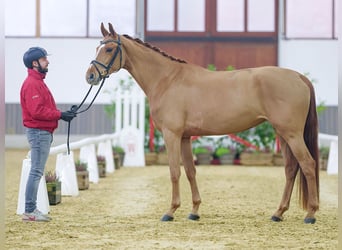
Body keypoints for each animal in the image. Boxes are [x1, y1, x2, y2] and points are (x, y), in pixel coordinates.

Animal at [86, 22, 320, 224]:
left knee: (308, 165)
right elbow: (190, 172)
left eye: (108, 49)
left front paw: (170, 211)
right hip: (283, 134)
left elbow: (174, 171)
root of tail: (299, 77)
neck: (167, 80)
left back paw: (311, 213)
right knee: (291, 169)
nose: (90, 76)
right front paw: (194, 211)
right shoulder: (185, 137)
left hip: (291, 134)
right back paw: (278, 213)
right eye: (97, 47)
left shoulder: (171, 135)